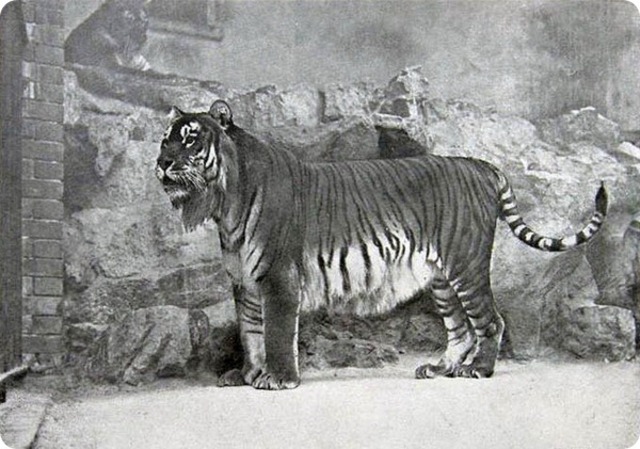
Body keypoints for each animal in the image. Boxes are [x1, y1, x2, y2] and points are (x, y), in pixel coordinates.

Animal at [155, 100, 608, 390]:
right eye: (164, 140)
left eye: (191, 139)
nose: (161, 163)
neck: (225, 203)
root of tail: (480, 165)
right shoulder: (244, 281)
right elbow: (250, 332)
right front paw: (247, 375)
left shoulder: (277, 278)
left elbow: (277, 333)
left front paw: (278, 379)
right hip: (442, 278)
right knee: (460, 329)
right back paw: (439, 368)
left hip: (466, 265)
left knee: (491, 321)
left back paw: (478, 370)